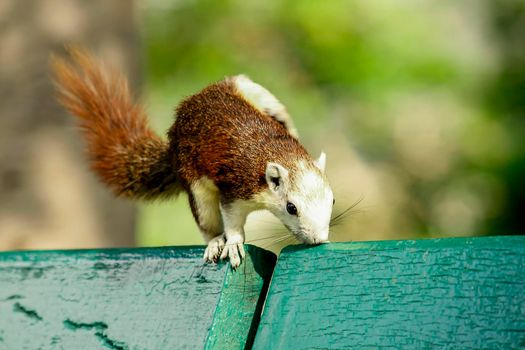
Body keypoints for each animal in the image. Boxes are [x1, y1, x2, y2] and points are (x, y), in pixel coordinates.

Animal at [51, 50, 334, 268]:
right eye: (291, 207)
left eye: (332, 200)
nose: (319, 239)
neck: (278, 152)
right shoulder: (234, 189)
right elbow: (232, 221)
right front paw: (233, 243)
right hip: (197, 188)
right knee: (207, 222)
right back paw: (215, 242)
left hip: (250, 89)